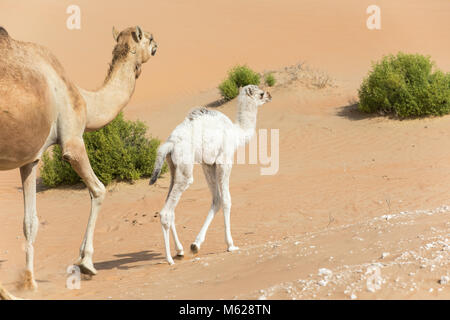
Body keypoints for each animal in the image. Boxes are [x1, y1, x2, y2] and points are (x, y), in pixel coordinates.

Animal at [150, 84, 270, 264]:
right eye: (260, 93)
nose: (269, 95)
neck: (237, 133)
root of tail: (169, 144)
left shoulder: (208, 164)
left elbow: (217, 199)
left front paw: (195, 245)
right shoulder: (224, 161)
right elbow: (226, 200)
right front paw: (230, 245)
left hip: (173, 167)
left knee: (171, 210)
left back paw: (180, 250)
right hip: (186, 168)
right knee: (166, 212)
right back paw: (169, 259)